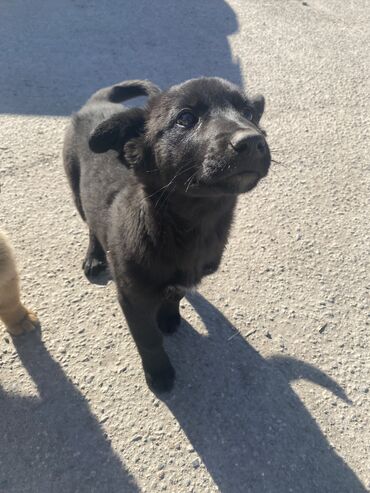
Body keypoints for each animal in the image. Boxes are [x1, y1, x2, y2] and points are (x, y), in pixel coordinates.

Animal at [63, 78, 270, 392]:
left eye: (248, 112)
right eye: (185, 118)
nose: (252, 141)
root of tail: (98, 102)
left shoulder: (185, 280)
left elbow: (176, 295)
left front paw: (169, 317)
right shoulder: (132, 298)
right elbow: (148, 340)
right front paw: (158, 373)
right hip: (76, 191)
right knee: (91, 226)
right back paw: (95, 257)